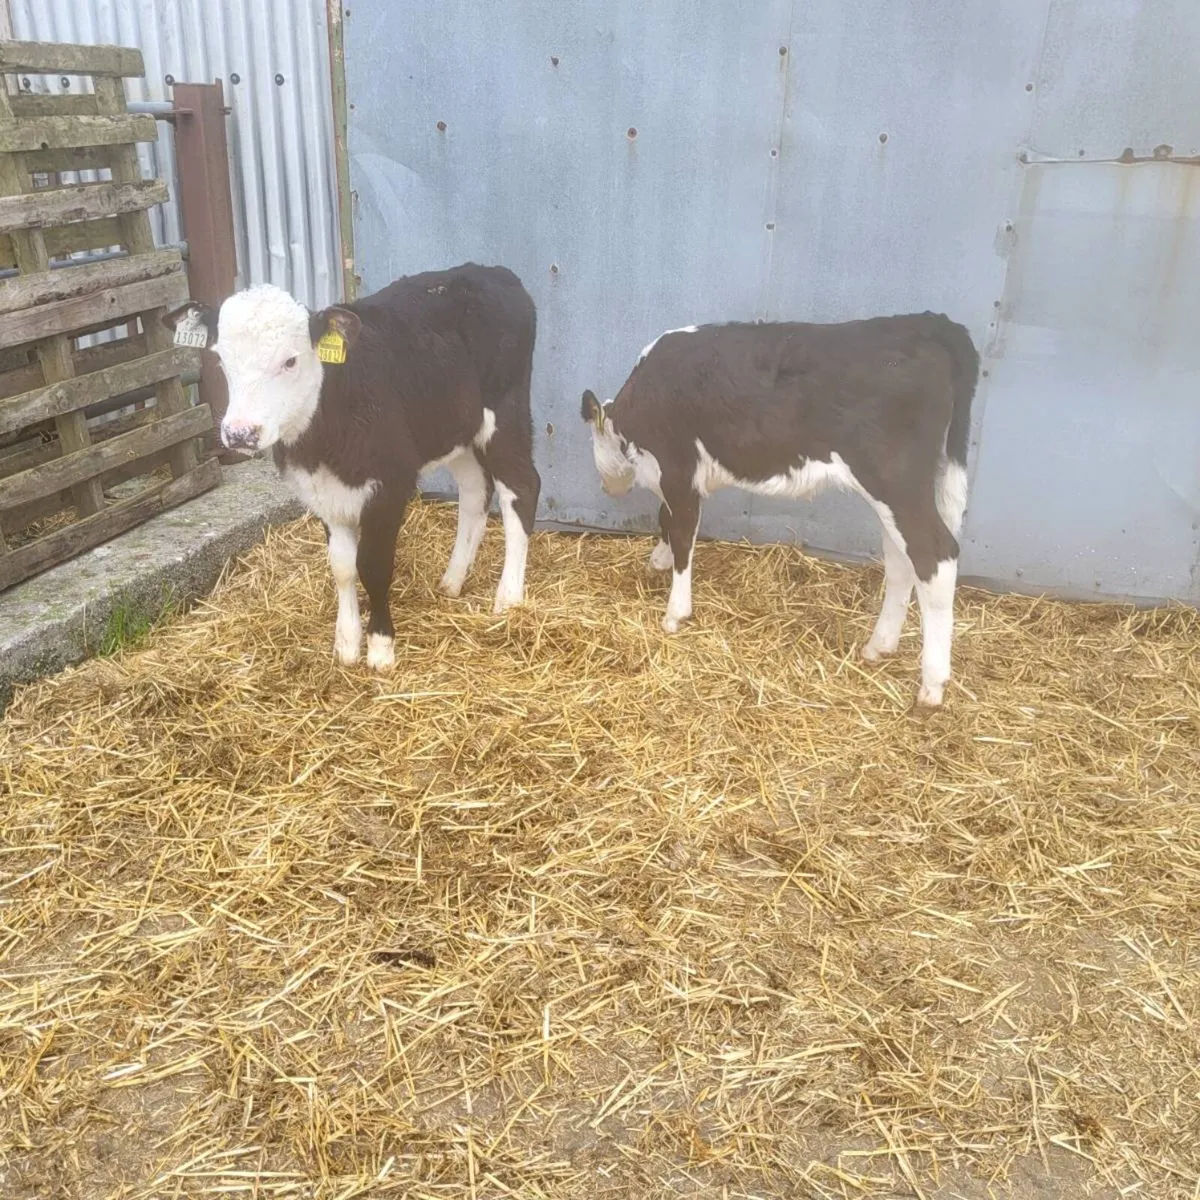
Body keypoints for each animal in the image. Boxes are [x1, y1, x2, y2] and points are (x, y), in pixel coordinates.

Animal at [165, 263, 540, 671]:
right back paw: (452, 580)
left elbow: (373, 565)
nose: (240, 433)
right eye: (220, 360)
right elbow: (342, 567)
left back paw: (508, 597)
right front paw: (346, 643)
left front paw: (380, 648)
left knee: (521, 489)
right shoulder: (320, 492)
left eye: (290, 360)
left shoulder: (390, 483)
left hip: (506, 412)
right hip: (455, 429)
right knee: (475, 492)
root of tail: (492, 271)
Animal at [580, 313, 979, 706]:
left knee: (935, 556)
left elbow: (680, 533)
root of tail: (925, 323)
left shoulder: (678, 468)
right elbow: (667, 518)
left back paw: (931, 686)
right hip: (893, 494)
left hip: (894, 479)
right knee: (901, 561)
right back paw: (878, 646)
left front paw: (675, 613)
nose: (606, 487)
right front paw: (658, 561)